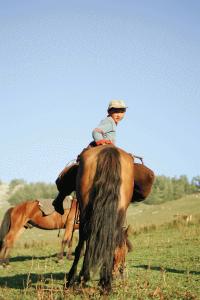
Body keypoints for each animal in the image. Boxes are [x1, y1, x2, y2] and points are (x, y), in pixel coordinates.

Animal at [67, 145, 136, 292]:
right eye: (125, 251)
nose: (121, 271)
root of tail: (109, 150)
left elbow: (81, 245)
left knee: (86, 238)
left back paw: (85, 277)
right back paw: (104, 282)